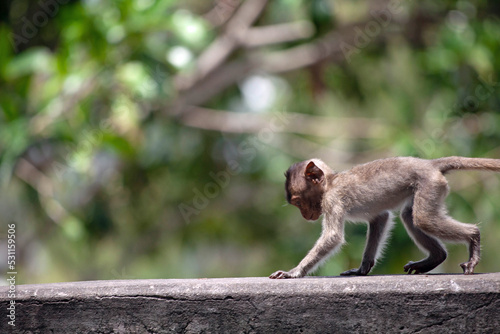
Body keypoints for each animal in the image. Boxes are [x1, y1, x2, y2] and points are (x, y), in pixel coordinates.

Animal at [272, 157, 500, 280]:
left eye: (298, 202)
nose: (305, 216)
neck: (331, 182)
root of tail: (430, 164)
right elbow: (380, 218)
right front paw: (362, 270)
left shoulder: (332, 199)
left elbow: (333, 237)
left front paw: (294, 272)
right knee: (410, 217)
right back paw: (436, 258)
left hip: (430, 184)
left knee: (422, 218)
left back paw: (473, 237)